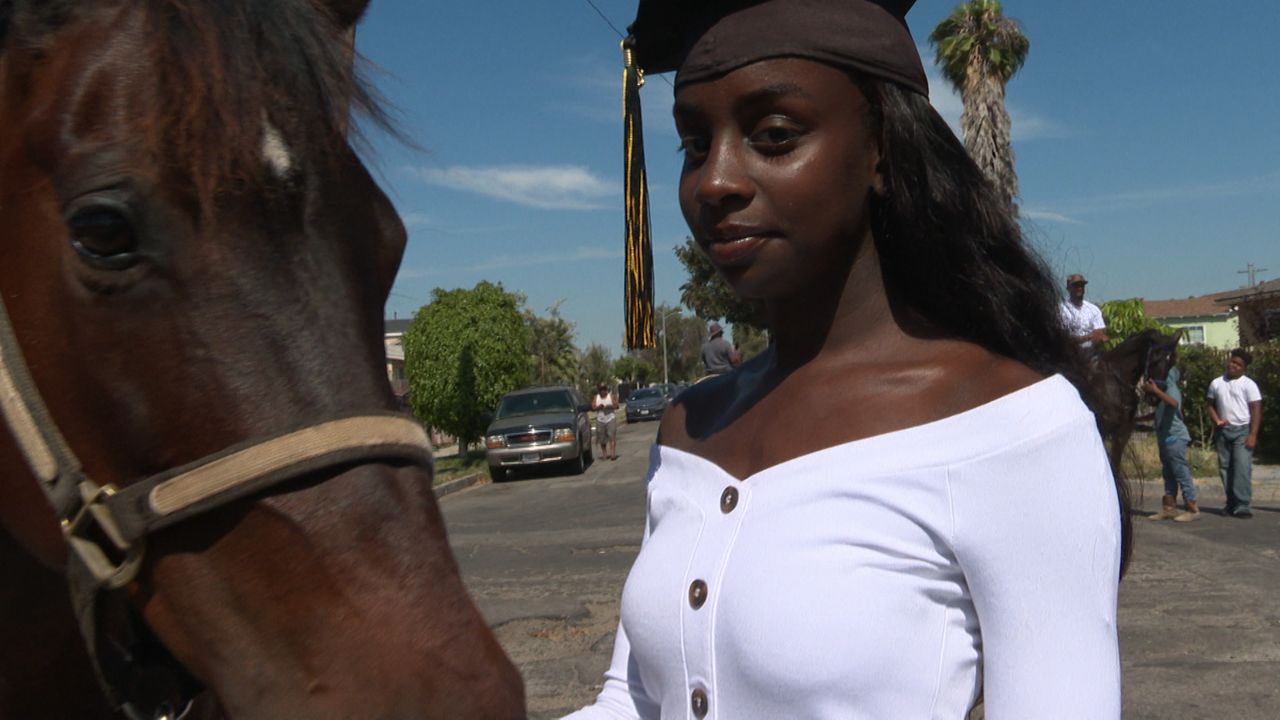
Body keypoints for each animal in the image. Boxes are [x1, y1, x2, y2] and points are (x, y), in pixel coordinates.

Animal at [1095, 327, 1182, 474]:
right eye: (1155, 359)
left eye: (1172, 363)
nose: (1155, 398)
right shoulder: (1101, 430)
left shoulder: (1122, 434)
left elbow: (1115, 468)